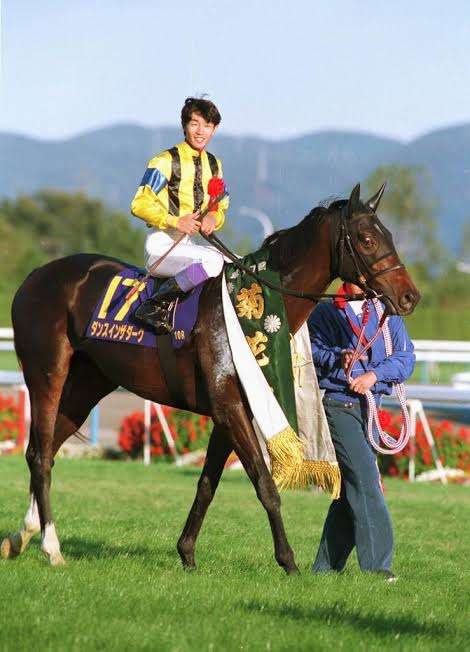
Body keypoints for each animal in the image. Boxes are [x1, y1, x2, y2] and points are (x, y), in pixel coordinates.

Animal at [1, 183, 420, 573]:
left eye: (389, 235)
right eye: (367, 239)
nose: (409, 297)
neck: (248, 308)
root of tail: (35, 276)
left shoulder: (231, 410)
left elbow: (207, 484)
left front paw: (186, 552)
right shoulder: (230, 406)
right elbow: (265, 484)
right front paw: (288, 561)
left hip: (89, 384)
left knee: (46, 450)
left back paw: (21, 536)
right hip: (47, 374)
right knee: (40, 455)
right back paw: (51, 547)